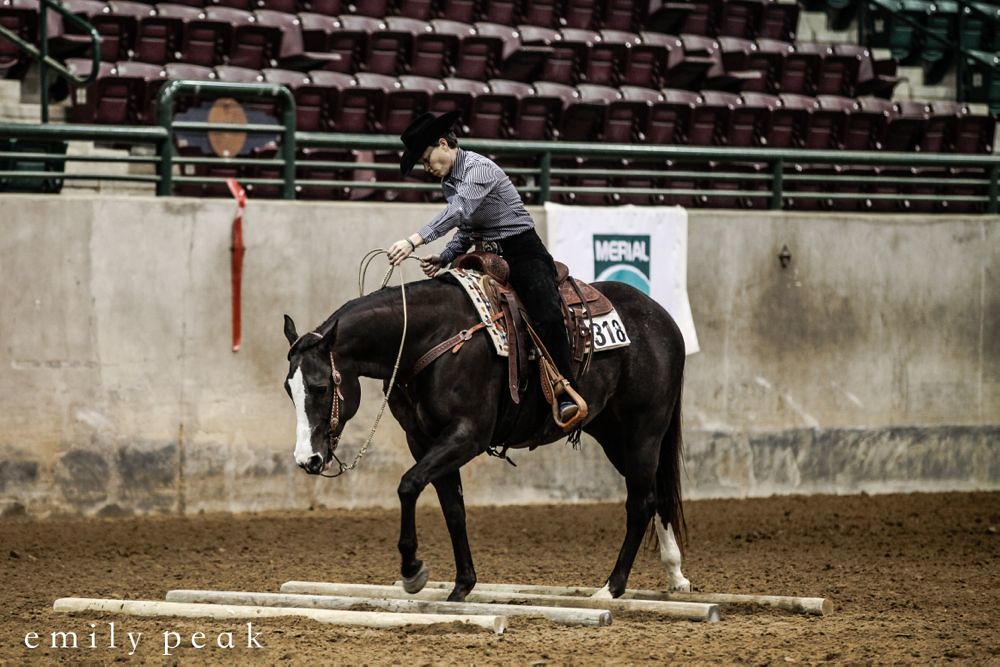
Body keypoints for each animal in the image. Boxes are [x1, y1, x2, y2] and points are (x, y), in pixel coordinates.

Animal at [282, 271, 690, 601]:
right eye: (289, 388)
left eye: (320, 387)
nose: (307, 460)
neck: (429, 338)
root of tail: (663, 318)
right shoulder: (424, 441)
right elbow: (453, 508)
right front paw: (462, 585)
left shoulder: (467, 435)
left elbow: (408, 485)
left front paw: (413, 571)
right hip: (614, 434)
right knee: (654, 495)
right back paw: (675, 574)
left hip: (642, 432)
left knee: (640, 503)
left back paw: (611, 588)